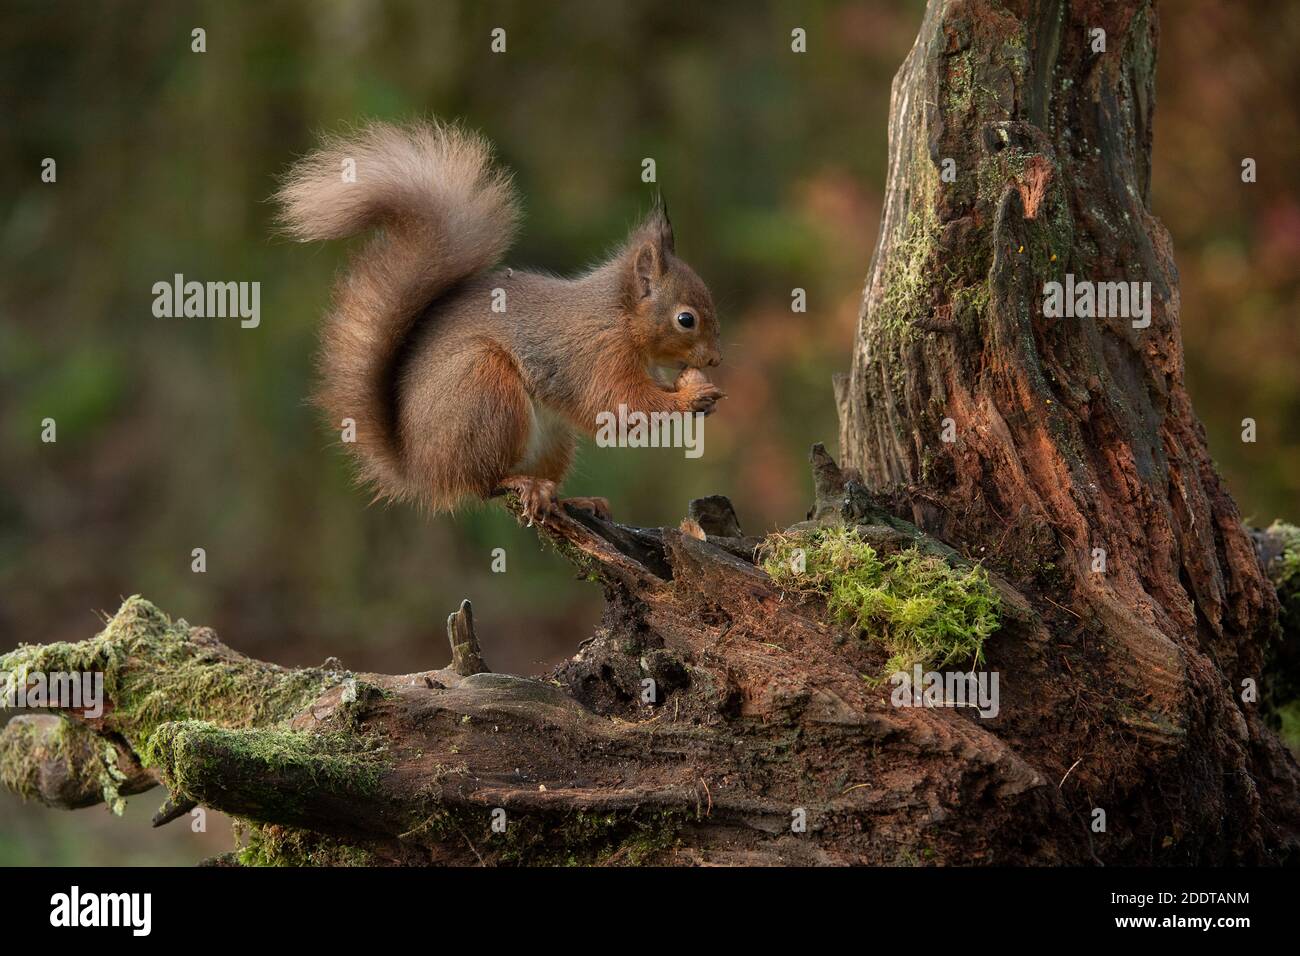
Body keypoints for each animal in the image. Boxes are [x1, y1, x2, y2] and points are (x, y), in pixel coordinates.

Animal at [276, 120, 722, 528]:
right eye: (686, 319)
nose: (715, 360)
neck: (619, 316)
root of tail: (420, 470)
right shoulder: (595, 356)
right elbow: (620, 406)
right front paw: (691, 397)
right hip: (484, 391)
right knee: (481, 484)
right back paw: (522, 484)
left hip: (552, 440)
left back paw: (573, 500)